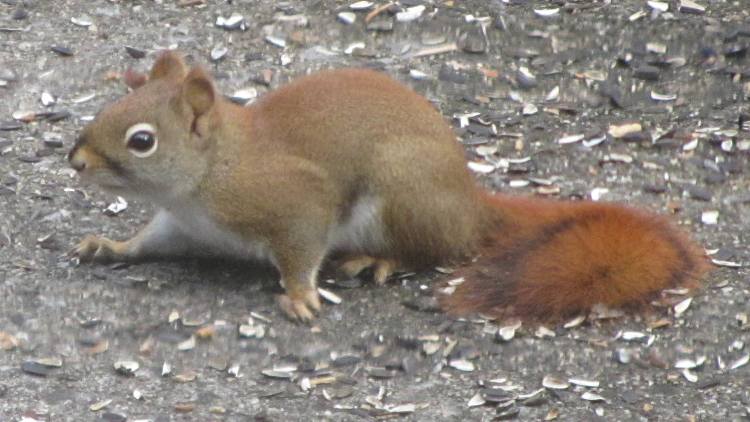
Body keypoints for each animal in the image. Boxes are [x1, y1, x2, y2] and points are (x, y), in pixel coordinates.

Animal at [68, 51, 710, 322]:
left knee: (432, 250)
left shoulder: (294, 202)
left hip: (401, 195)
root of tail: (470, 205)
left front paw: (300, 294)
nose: (75, 161)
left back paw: (377, 260)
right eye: (111, 104)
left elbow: (301, 246)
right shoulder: (182, 226)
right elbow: (147, 243)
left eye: (142, 141)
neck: (208, 175)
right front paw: (109, 246)